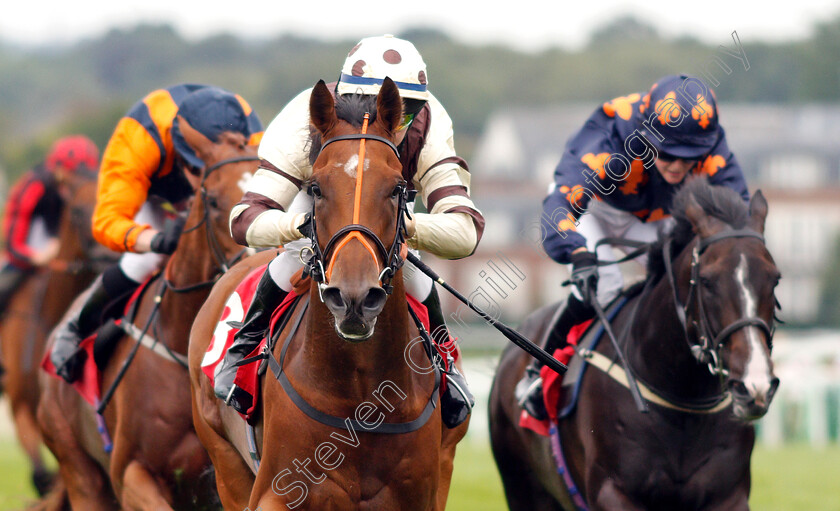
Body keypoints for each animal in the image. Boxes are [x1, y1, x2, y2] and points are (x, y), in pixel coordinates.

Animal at [188, 78, 470, 510]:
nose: (354, 298)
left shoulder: (422, 492)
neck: (358, 387)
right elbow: (247, 213)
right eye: (317, 189)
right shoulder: (276, 491)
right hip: (225, 462)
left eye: (397, 188)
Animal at [488, 177, 784, 511]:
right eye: (707, 281)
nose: (755, 386)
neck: (682, 401)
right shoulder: (614, 492)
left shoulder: (728, 496)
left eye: (775, 279)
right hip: (523, 486)